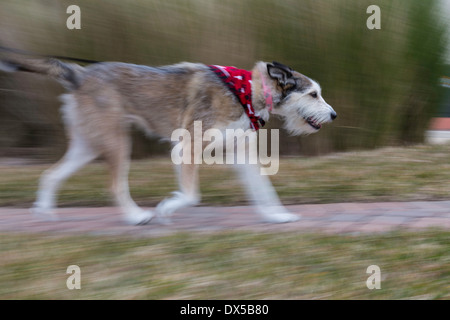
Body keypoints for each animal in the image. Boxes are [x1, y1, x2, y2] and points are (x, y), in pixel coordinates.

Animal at [0, 58, 336, 226]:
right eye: (313, 94)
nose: (333, 115)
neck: (248, 90)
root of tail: (80, 74)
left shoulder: (239, 153)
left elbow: (263, 189)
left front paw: (276, 216)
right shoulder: (187, 147)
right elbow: (191, 195)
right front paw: (166, 208)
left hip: (87, 145)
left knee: (50, 174)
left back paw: (44, 212)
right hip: (116, 143)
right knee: (114, 185)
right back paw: (136, 217)